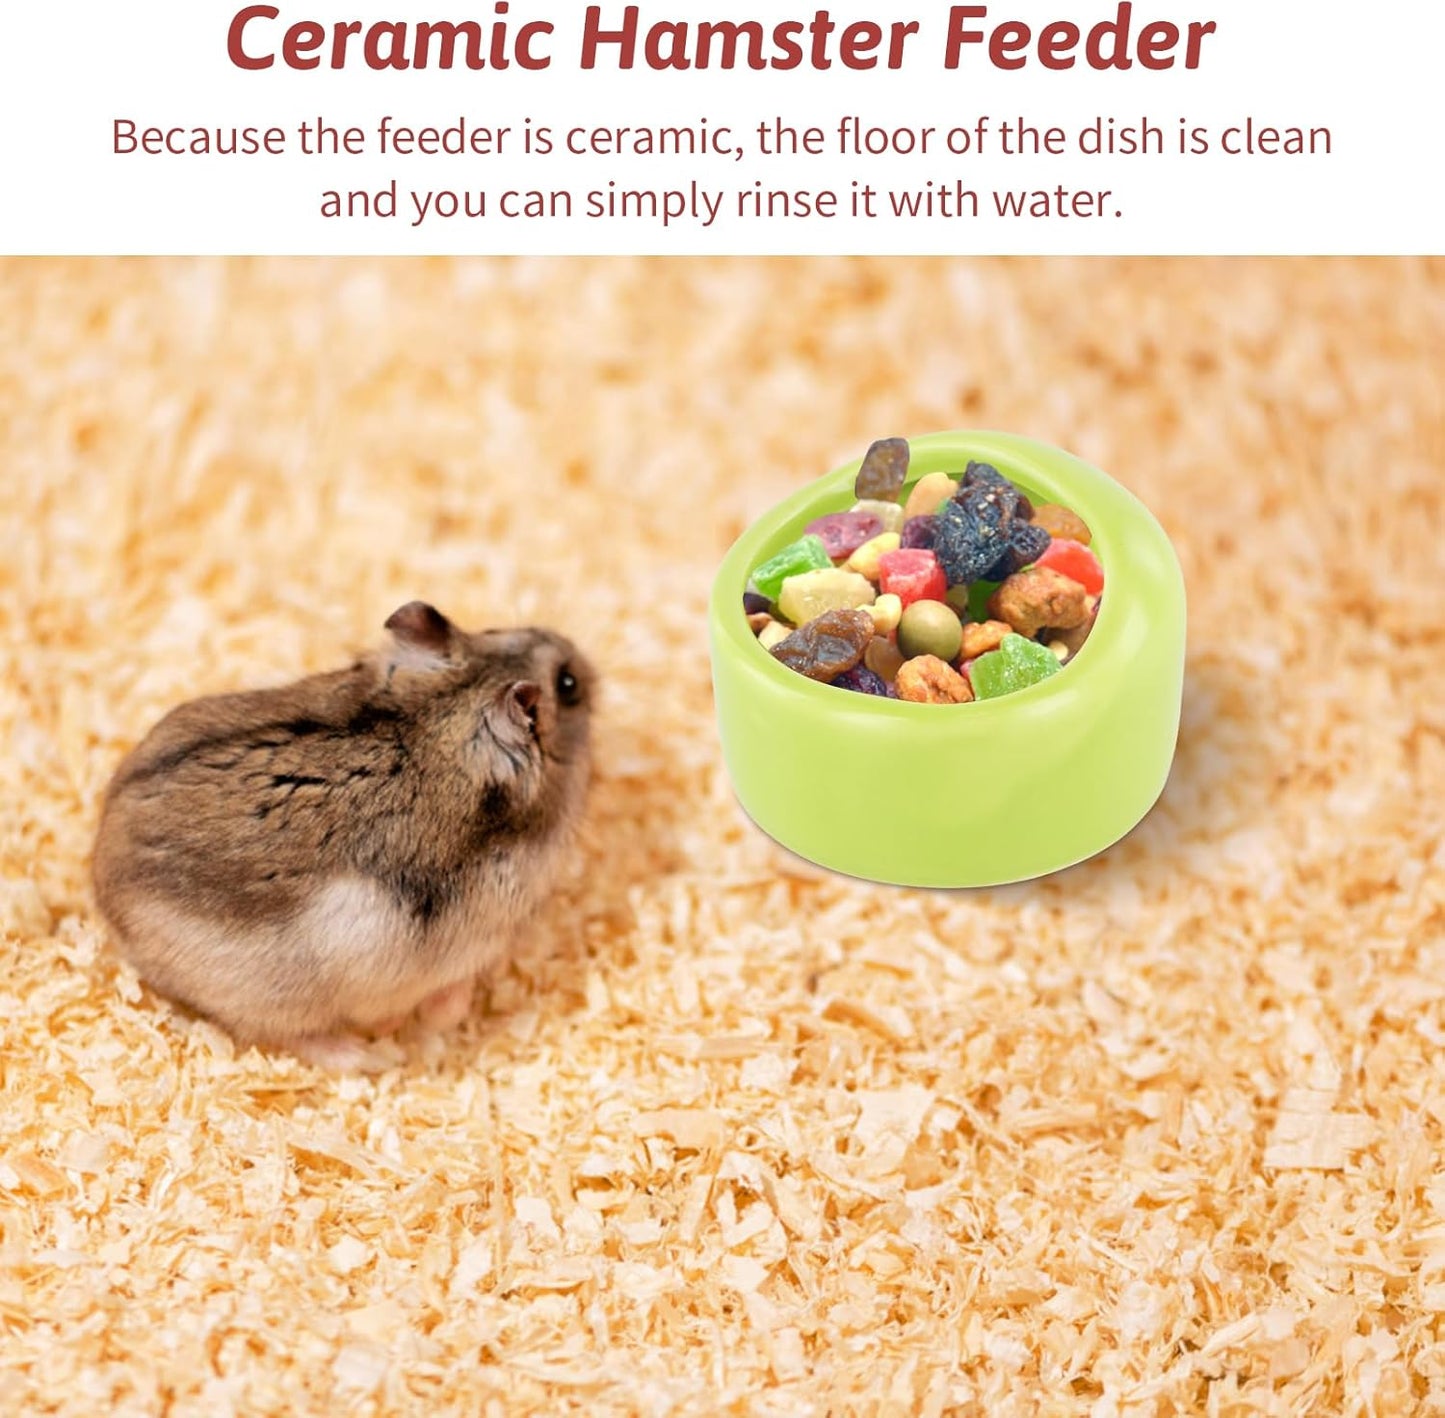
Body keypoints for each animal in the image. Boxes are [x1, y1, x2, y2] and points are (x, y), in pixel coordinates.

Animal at [91, 601, 595, 1069]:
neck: (441, 720)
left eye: (489, 628)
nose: (583, 658)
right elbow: (447, 1004)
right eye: (568, 684)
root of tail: (105, 893)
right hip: (277, 1000)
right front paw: (414, 1025)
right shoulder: (477, 945)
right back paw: (365, 1058)